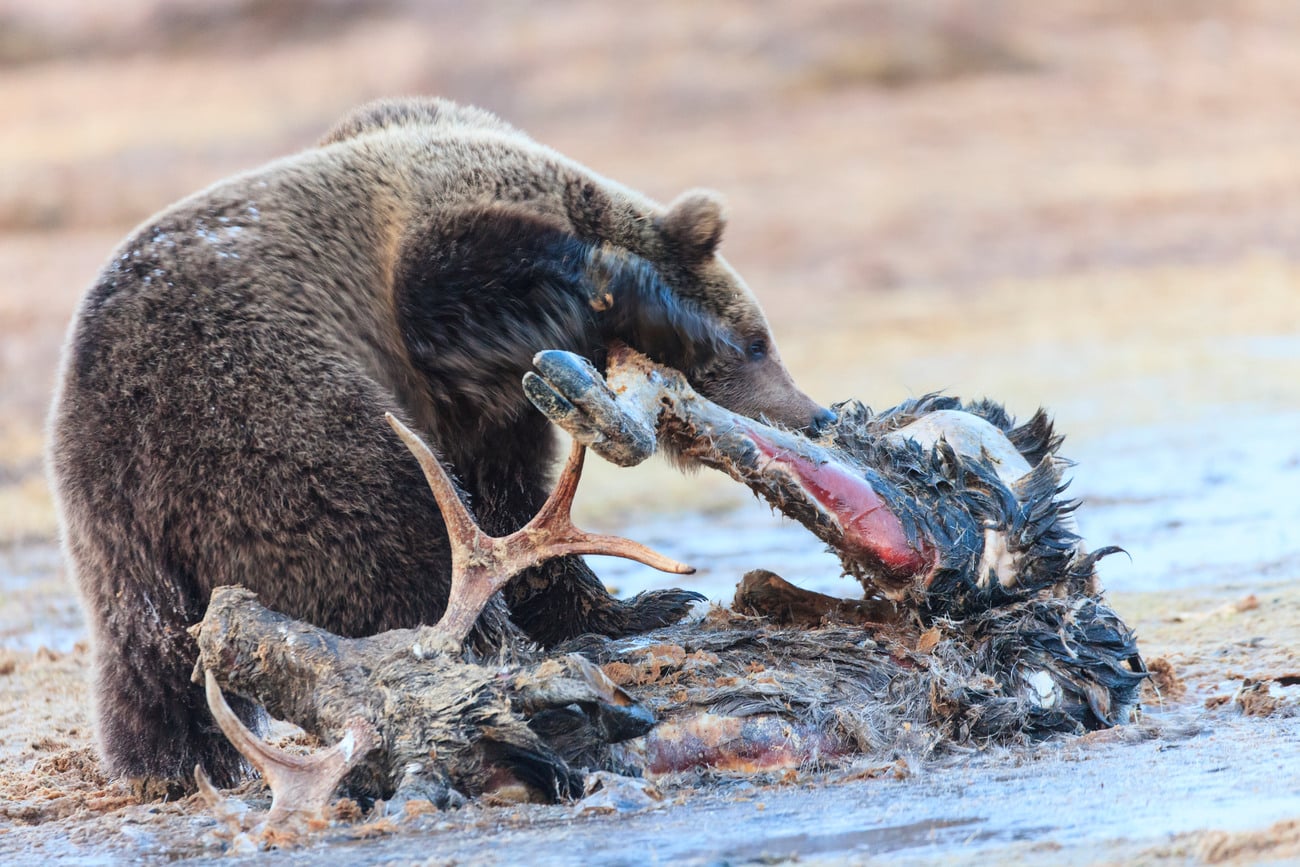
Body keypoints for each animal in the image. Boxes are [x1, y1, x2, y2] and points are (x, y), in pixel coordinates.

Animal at [48, 94, 832, 795]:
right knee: (391, 521)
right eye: (756, 342)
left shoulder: (481, 404)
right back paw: (515, 651)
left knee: (150, 668)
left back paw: (181, 761)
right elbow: (456, 294)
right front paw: (646, 302)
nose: (816, 413)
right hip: (256, 412)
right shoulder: (423, 282)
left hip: (122, 550)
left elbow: (509, 492)